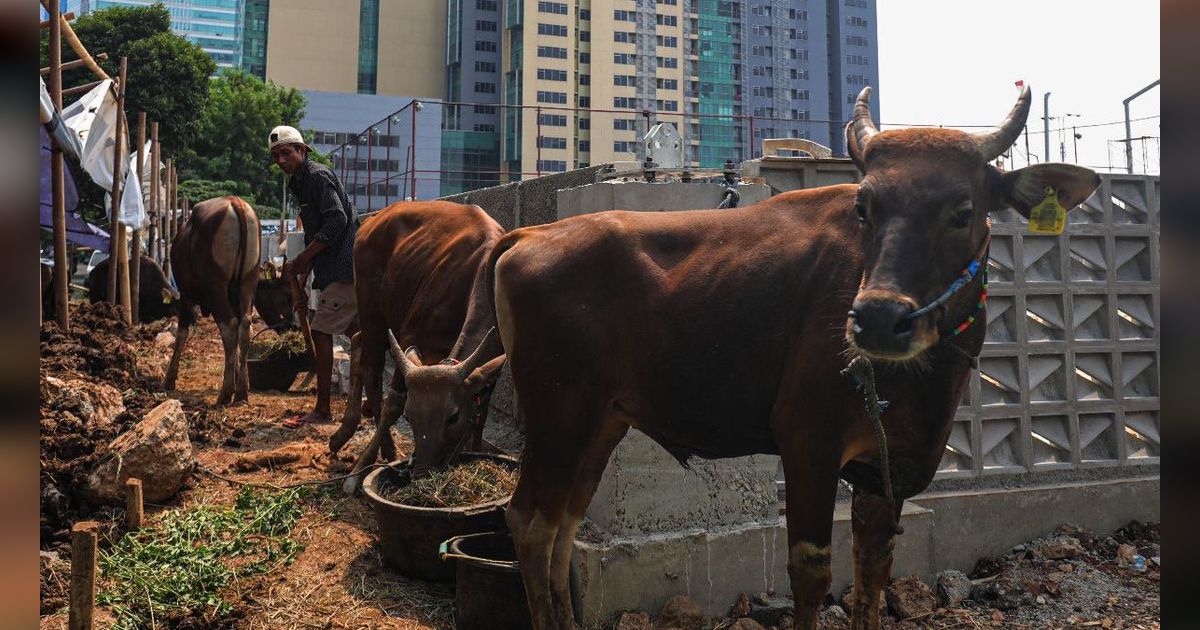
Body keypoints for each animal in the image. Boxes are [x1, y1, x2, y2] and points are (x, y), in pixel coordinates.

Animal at [163, 195, 261, 403]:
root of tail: (236, 202)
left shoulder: (185, 295)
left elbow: (182, 333)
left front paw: (170, 378)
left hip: (216, 286)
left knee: (229, 326)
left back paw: (226, 392)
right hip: (249, 281)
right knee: (244, 327)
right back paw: (241, 390)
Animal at [484, 84, 1099, 628]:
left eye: (963, 210)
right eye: (863, 206)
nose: (878, 317)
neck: (918, 384)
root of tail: (528, 236)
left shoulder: (887, 470)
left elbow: (873, 573)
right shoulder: (809, 443)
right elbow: (811, 575)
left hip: (600, 424)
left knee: (564, 525)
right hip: (557, 416)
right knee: (530, 523)